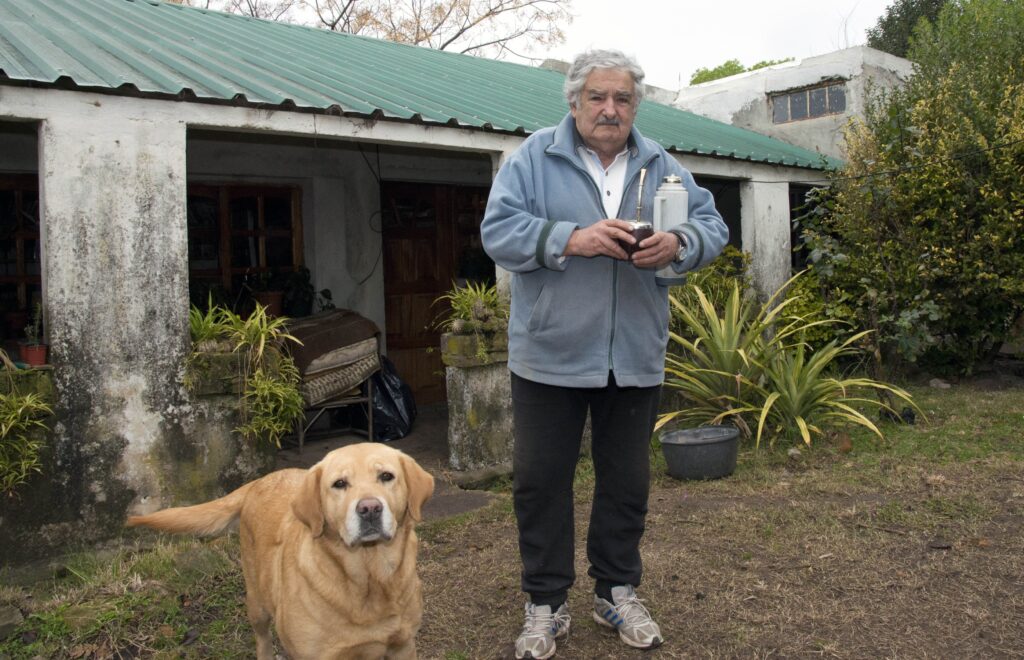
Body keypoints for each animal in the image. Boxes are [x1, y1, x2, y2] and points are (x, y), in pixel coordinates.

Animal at [125, 442, 434, 658]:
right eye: (339, 484)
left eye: (386, 476)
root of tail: (260, 480)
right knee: (262, 640)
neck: (369, 580)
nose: (370, 509)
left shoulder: (403, 646)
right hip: (256, 603)